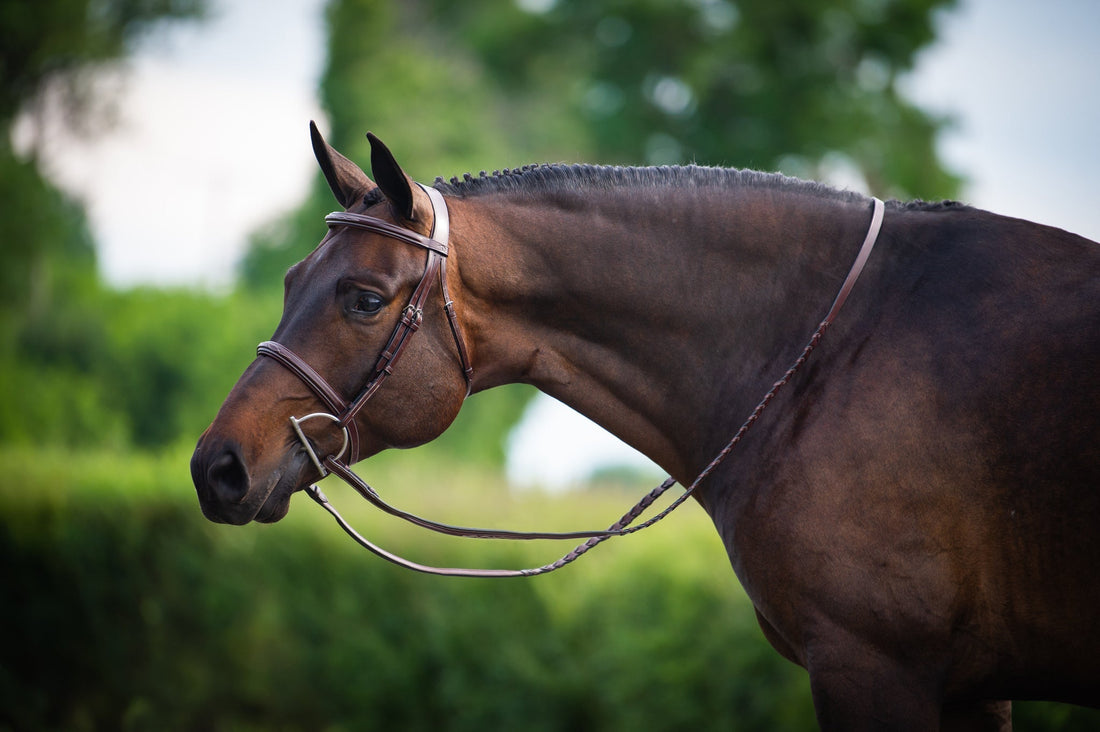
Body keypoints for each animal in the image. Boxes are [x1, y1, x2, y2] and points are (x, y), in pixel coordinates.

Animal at [191, 123, 1100, 730]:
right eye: (290, 279)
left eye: (363, 299)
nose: (217, 466)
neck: (834, 349)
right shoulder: (969, 688)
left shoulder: (874, 667)